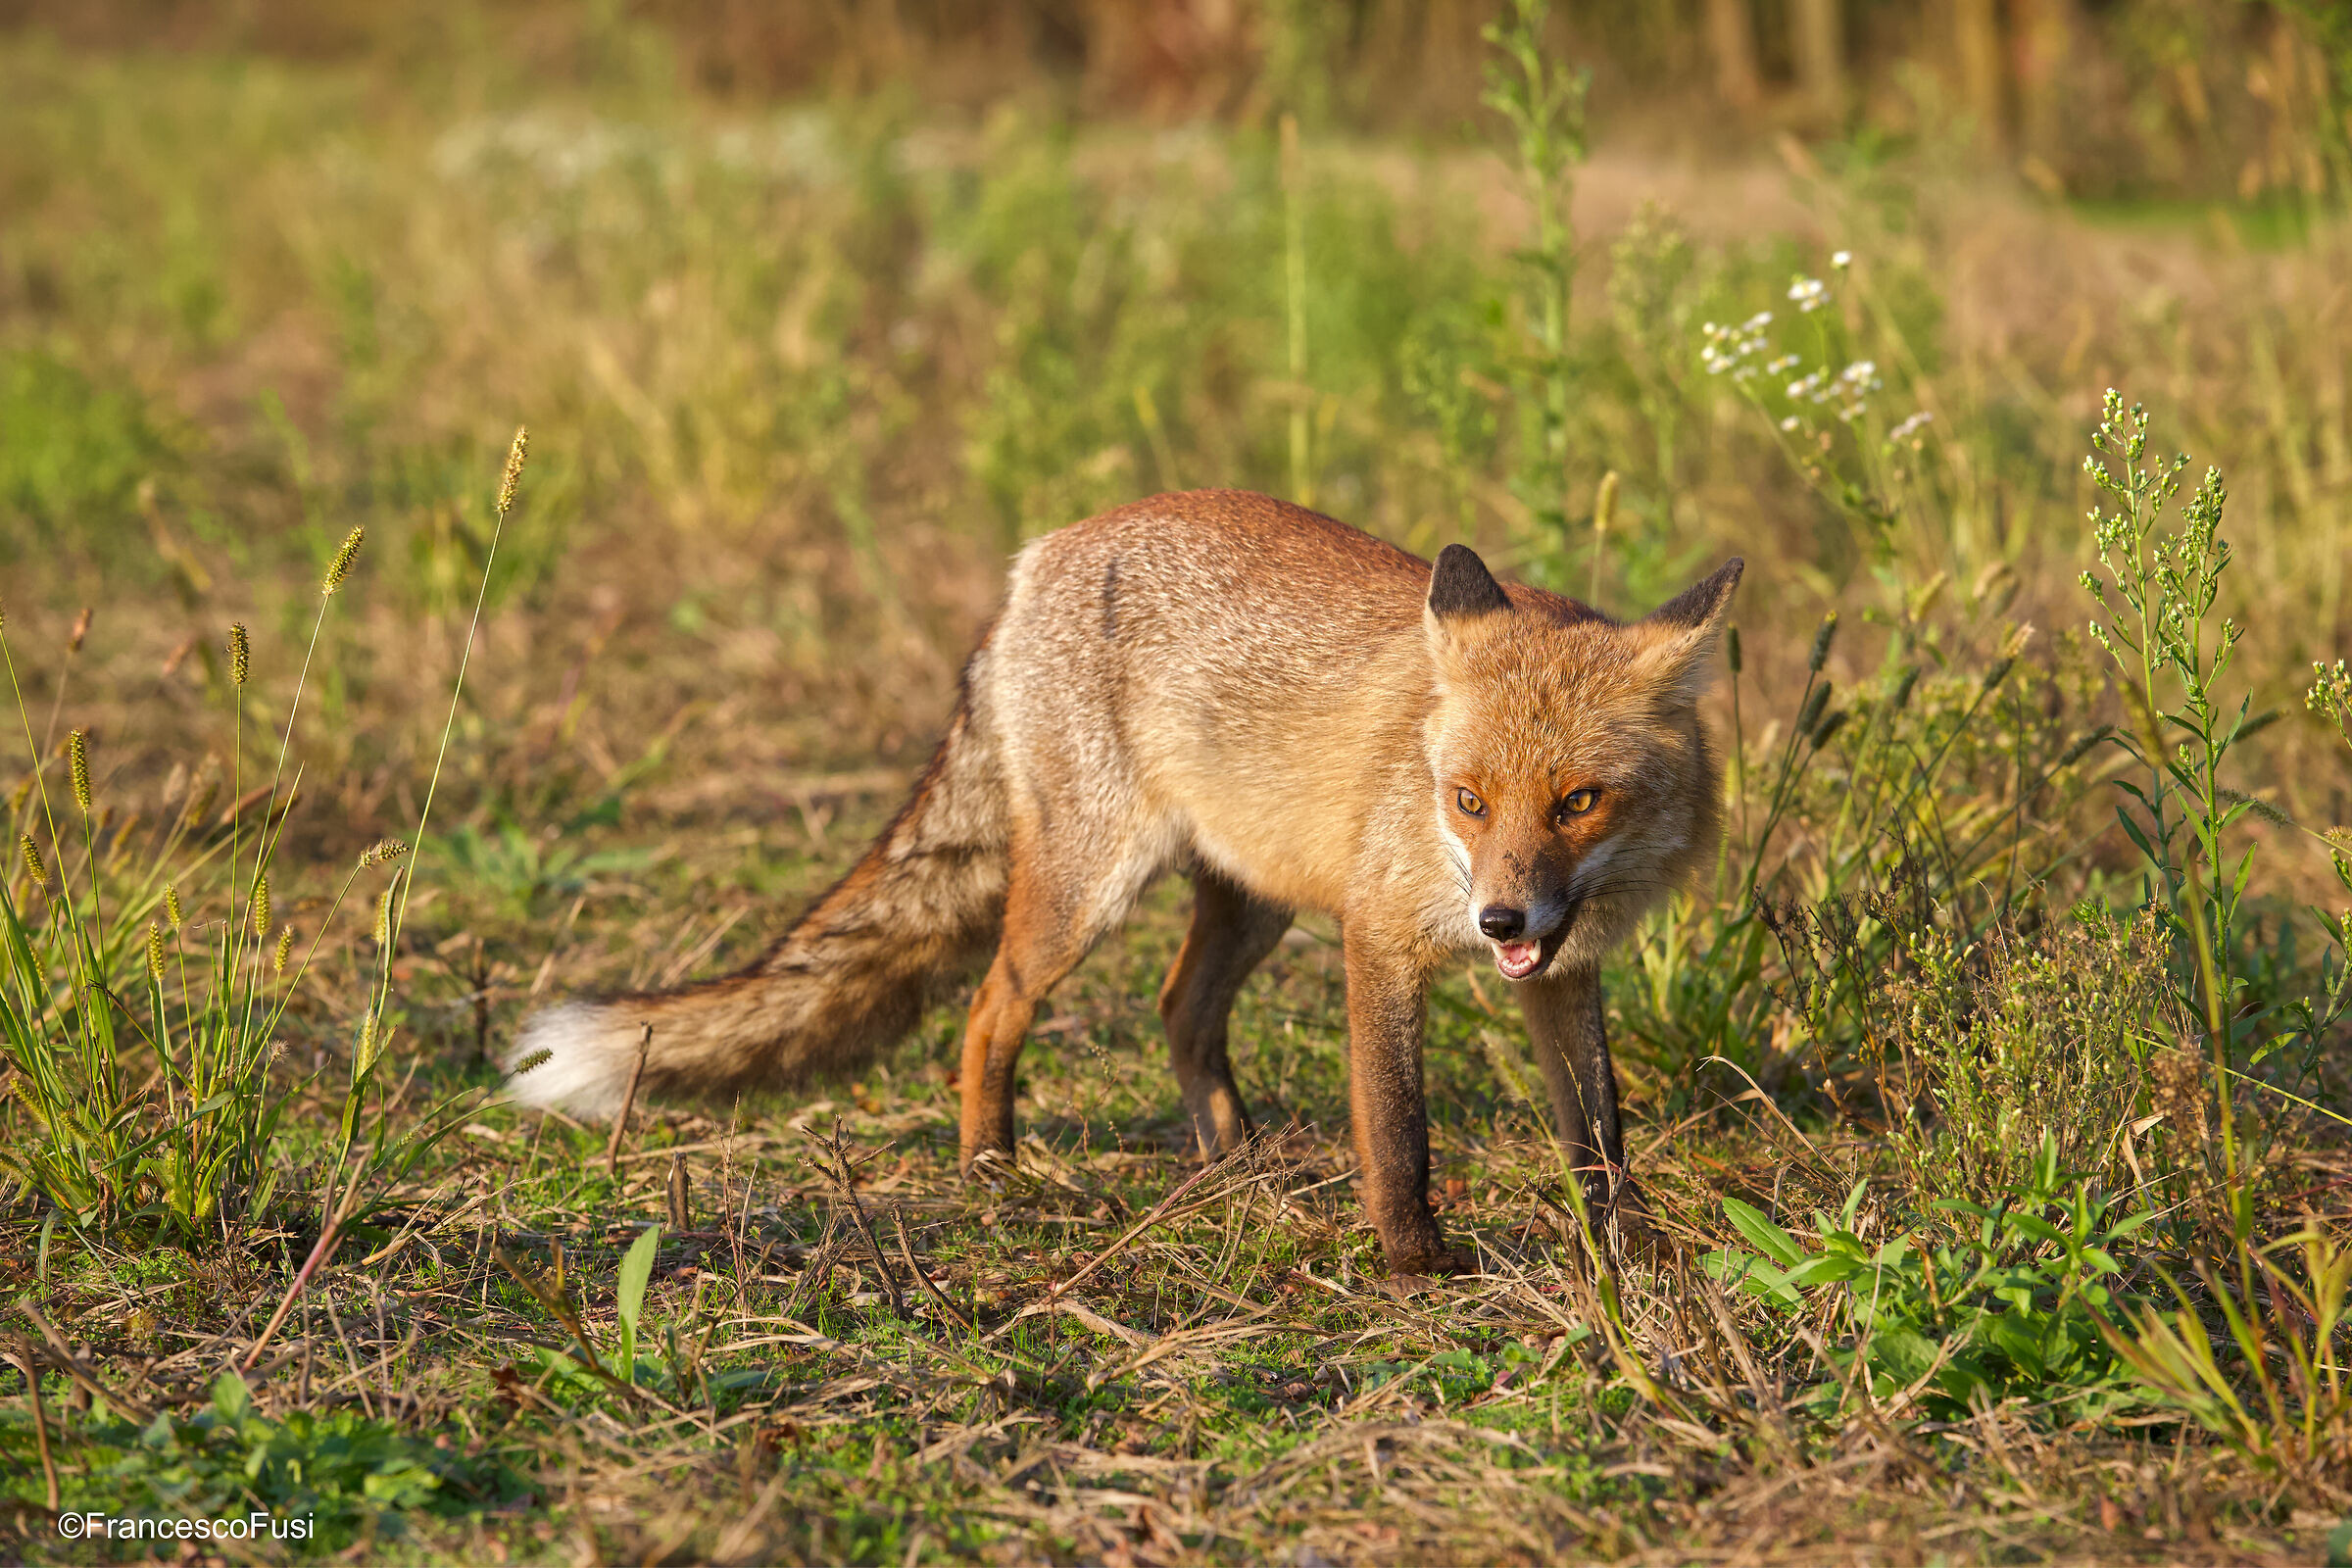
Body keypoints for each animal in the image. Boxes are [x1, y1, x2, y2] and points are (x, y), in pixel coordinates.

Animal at [507, 490, 1740, 1274]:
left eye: (1578, 802)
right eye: (1469, 800)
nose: (1498, 913)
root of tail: (1039, 556)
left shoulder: (1560, 972)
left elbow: (1600, 1130)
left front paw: (1629, 1248)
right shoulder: (1382, 938)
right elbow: (1400, 1128)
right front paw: (1415, 1263)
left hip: (1253, 898)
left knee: (1180, 1010)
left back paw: (1235, 1163)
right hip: (1086, 893)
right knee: (991, 1006)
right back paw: (991, 1167)